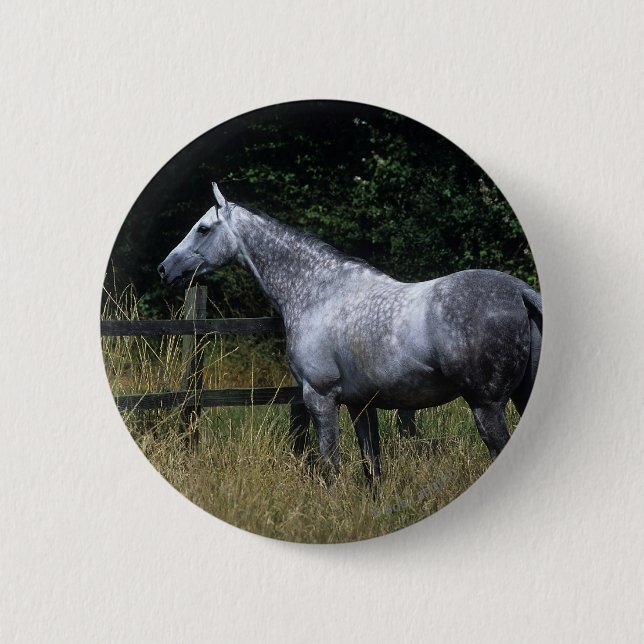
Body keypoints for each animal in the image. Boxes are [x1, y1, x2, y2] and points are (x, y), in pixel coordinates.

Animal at [158, 182, 542, 483]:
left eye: (203, 228)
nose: (164, 269)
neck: (319, 293)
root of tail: (518, 291)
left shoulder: (320, 397)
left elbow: (331, 467)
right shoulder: (361, 405)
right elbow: (372, 469)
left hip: (485, 406)